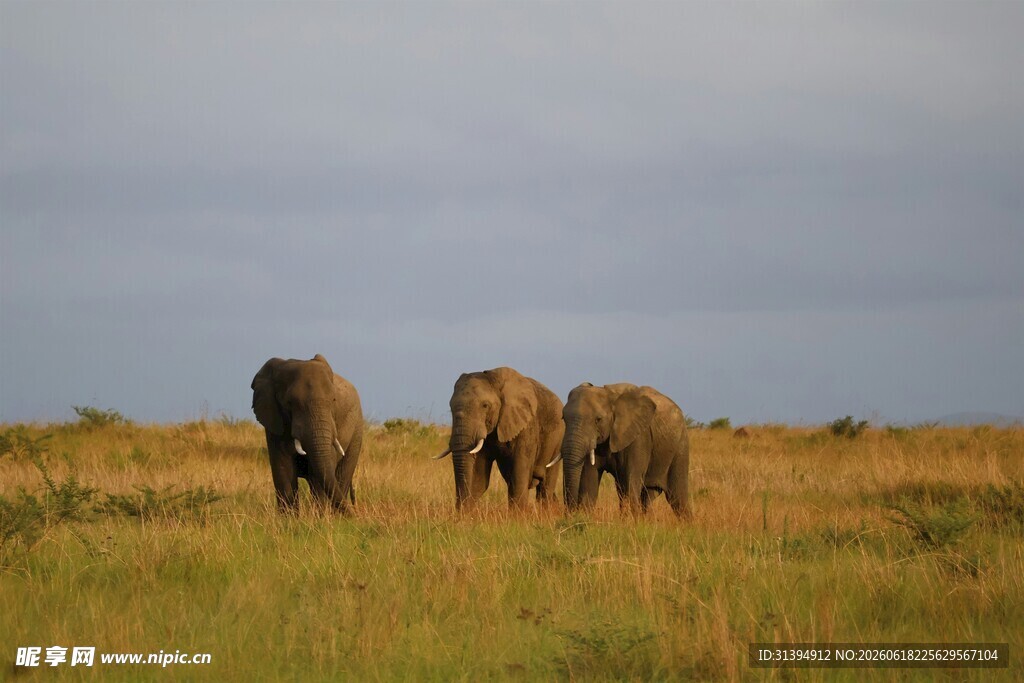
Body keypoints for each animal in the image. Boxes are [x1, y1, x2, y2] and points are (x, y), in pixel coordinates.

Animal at [251, 354, 363, 513]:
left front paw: (321, 516)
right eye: (289, 402)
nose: (355, 515)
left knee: (342, 473)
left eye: (333, 400)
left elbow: (318, 473)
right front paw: (290, 517)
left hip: (357, 427)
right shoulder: (275, 420)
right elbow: (283, 469)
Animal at [434, 367, 564, 510]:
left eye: (485, 405)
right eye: (450, 407)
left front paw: (518, 514)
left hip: (557, 440)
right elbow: (478, 479)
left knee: (546, 485)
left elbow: (519, 475)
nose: (459, 509)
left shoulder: (526, 426)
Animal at [552, 382, 690, 518]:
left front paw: (632, 521)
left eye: (598, 419)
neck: (609, 396)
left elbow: (630, 480)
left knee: (677, 498)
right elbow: (589, 480)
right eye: (563, 418)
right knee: (646, 497)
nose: (570, 513)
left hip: (680, 445)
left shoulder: (638, 438)